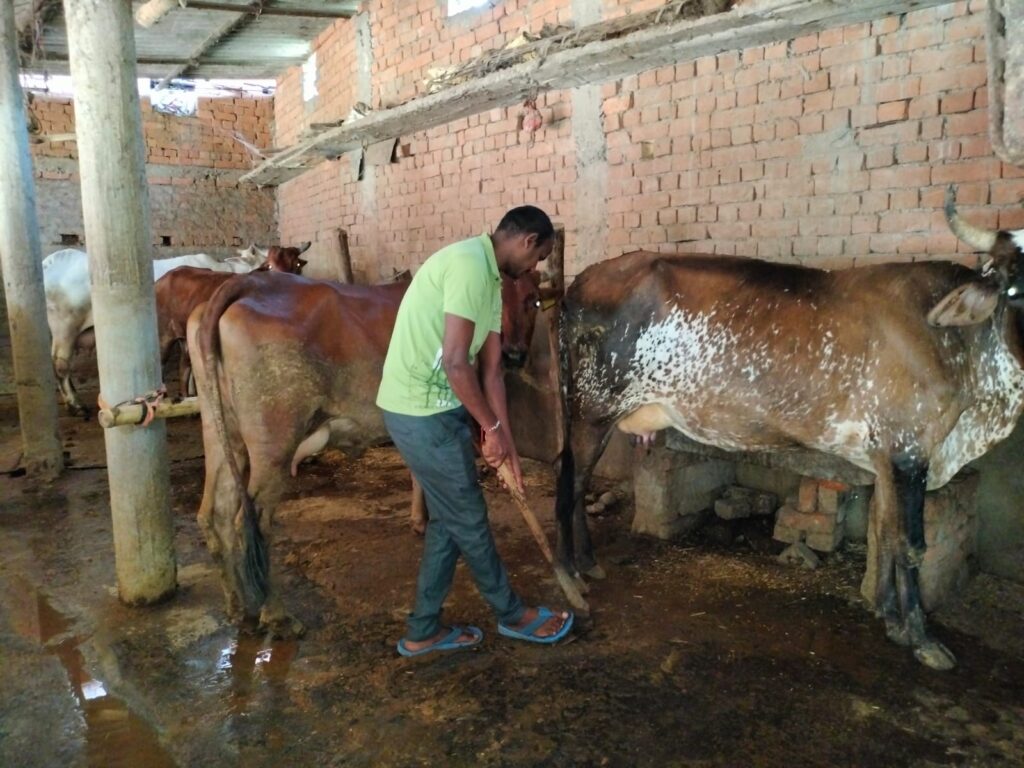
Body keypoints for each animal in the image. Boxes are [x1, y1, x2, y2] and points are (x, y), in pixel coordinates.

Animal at [557, 188, 1024, 671]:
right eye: (1013, 286)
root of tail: (581, 279)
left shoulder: (885, 458)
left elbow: (883, 531)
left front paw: (890, 618)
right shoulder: (911, 453)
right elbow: (910, 544)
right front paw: (920, 637)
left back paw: (587, 563)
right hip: (591, 409)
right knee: (570, 481)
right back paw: (570, 575)